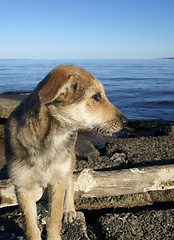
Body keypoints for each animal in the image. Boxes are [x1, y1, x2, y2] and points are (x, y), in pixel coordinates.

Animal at [4, 64, 127, 239]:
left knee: (71, 183)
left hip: (68, 163)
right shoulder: (22, 186)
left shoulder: (58, 179)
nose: (126, 121)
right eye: (97, 97)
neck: (48, 140)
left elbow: (54, 217)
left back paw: (69, 210)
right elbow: (31, 228)